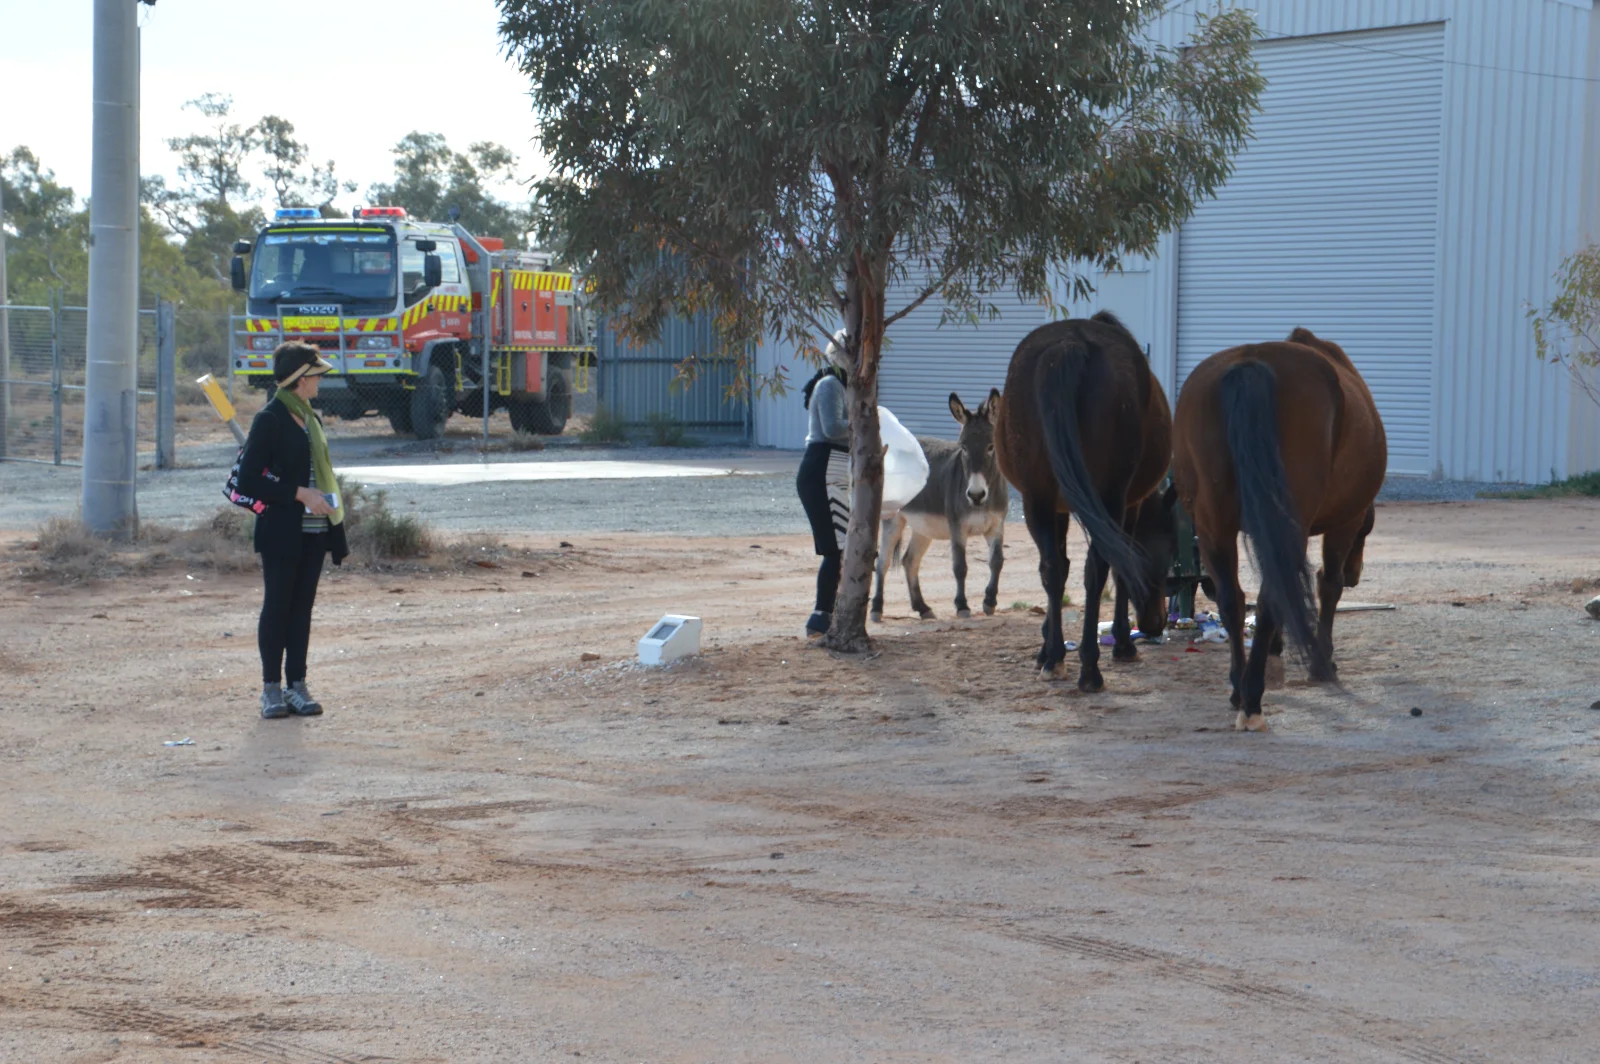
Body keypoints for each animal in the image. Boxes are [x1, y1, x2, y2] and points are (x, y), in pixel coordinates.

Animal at [871, 392, 1011, 623]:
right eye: (963, 447)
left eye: (991, 446)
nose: (976, 495)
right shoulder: (957, 526)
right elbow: (960, 566)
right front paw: (962, 605)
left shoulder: (996, 525)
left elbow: (997, 561)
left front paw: (990, 601)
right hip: (893, 518)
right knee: (883, 562)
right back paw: (876, 609)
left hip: (923, 528)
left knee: (910, 560)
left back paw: (922, 608)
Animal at [993, 312, 1177, 691]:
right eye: (1170, 552)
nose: (1155, 624)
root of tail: (1070, 345)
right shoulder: (1130, 506)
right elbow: (1121, 571)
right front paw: (1122, 645)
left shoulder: (1058, 508)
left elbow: (1058, 567)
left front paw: (1046, 648)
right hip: (1108, 500)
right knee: (1097, 569)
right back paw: (1090, 668)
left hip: (1037, 499)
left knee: (1052, 568)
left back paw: (1055, 660)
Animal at [1171, 327, 1386, 732]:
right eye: (1366, 529)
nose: (1357, 574)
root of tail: (1251, 364)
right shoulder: (1345, 523)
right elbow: (1326, 585)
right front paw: (1321, 662)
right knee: (1272, 595)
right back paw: (1253, 699)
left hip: (1212, 524)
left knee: (1233, 599)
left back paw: (1239, 688)